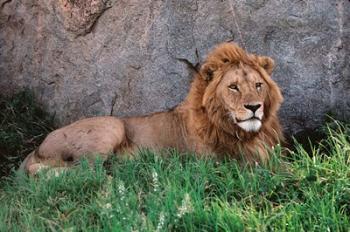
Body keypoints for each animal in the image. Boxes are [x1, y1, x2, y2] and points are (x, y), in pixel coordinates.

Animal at [20, 42, 284, 175]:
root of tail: (38, 146)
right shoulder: (218, 163)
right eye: (233, 87)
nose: (254, 107)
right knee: (76, 171)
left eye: (258, 85)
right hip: (110, 126)